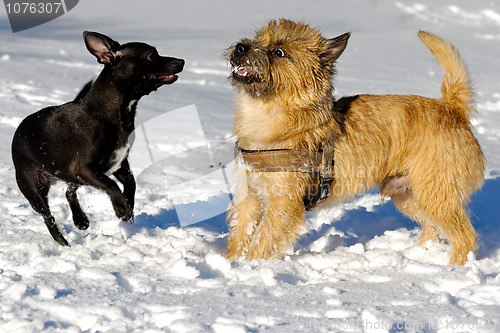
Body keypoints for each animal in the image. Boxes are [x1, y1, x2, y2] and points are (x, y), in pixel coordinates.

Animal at [12, 31, 185, 244]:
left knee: (69, 192)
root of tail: (19, 129)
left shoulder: (118, 164)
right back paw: (62, 242)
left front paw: (128, 206)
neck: (112, 113)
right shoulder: (86, 169)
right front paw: (122, 209)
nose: (181, 61)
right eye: (152, 55)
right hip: (34, 187)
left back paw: (80, 220)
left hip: (71, 176)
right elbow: (112, 185)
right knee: (48, 216)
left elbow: (131, 183)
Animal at [226, 20, 484, 264]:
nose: (241, 47)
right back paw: (415, 254)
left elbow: (262, 242)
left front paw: (249, 267)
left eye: (278, 52)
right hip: (409, 195)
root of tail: (452, 108)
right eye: (258, 38)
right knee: (433, 229)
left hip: (437, 194)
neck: (265, 116)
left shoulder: (283, 205)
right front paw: (232, 262)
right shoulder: (249, 198)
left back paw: (452, 266)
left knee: (464, 236)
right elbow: (241, 235)